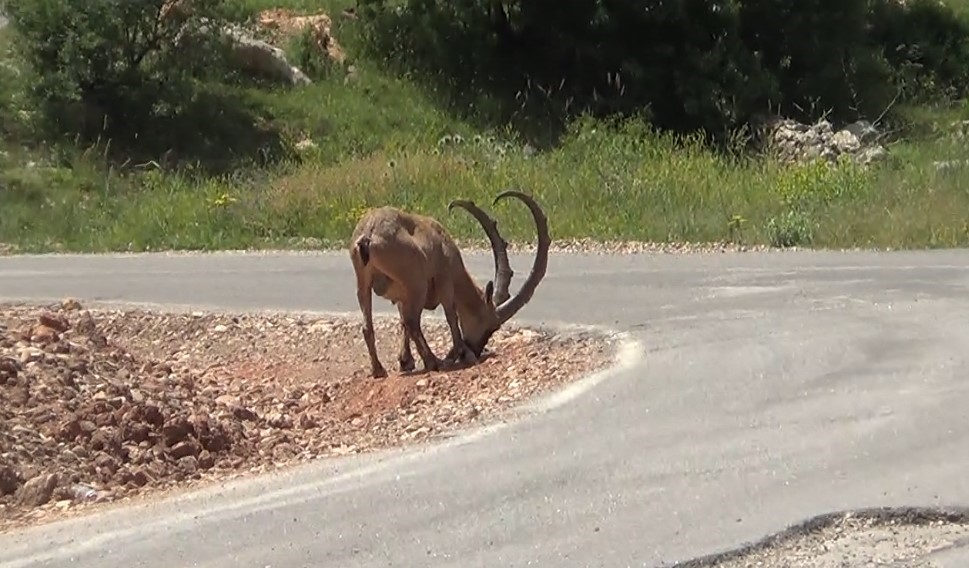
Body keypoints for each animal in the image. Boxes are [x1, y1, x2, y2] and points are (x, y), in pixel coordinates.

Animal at [348, 190, 548, 378]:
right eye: (492, 326)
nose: (476, 349)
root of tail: (368, 236)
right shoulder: (445, 281)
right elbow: (451, 315)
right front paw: (463, 354)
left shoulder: (401, 296)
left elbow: (402, 321)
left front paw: (406, 361)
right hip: (416, 283)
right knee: (413, 321)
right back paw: (432, 361)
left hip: (363, 282)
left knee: (369, 326)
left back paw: (379, 370)